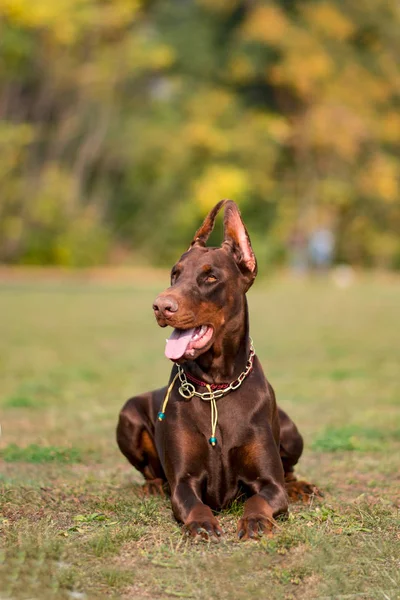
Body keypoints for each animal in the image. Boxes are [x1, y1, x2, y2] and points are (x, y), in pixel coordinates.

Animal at [115, 200, 318, 540]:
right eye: (174, 274)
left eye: (210, 278)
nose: (160, 306)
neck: (217, 385)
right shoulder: (184, 482)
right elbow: (192, 502)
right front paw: (201, 523)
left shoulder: (270, 484)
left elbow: (262, 497)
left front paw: (256, 520)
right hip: (128, 414)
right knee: (149, 472)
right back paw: (153, 486)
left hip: (291, 432)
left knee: (289, 472)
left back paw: (302, 486)